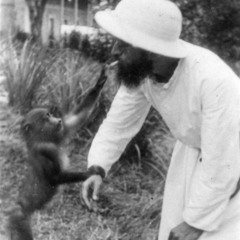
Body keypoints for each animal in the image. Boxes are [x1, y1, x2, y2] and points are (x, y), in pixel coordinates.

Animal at [7, 67, 107, 240]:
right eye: (46, 118)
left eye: (50, 115)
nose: (57, 119)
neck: (45, 138)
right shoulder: (43, 151)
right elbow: (55, 177)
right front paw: (89, 173)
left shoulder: (61, 130)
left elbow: (77, 117)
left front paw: (100, 82)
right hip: (21, 214)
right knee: (19, 217)